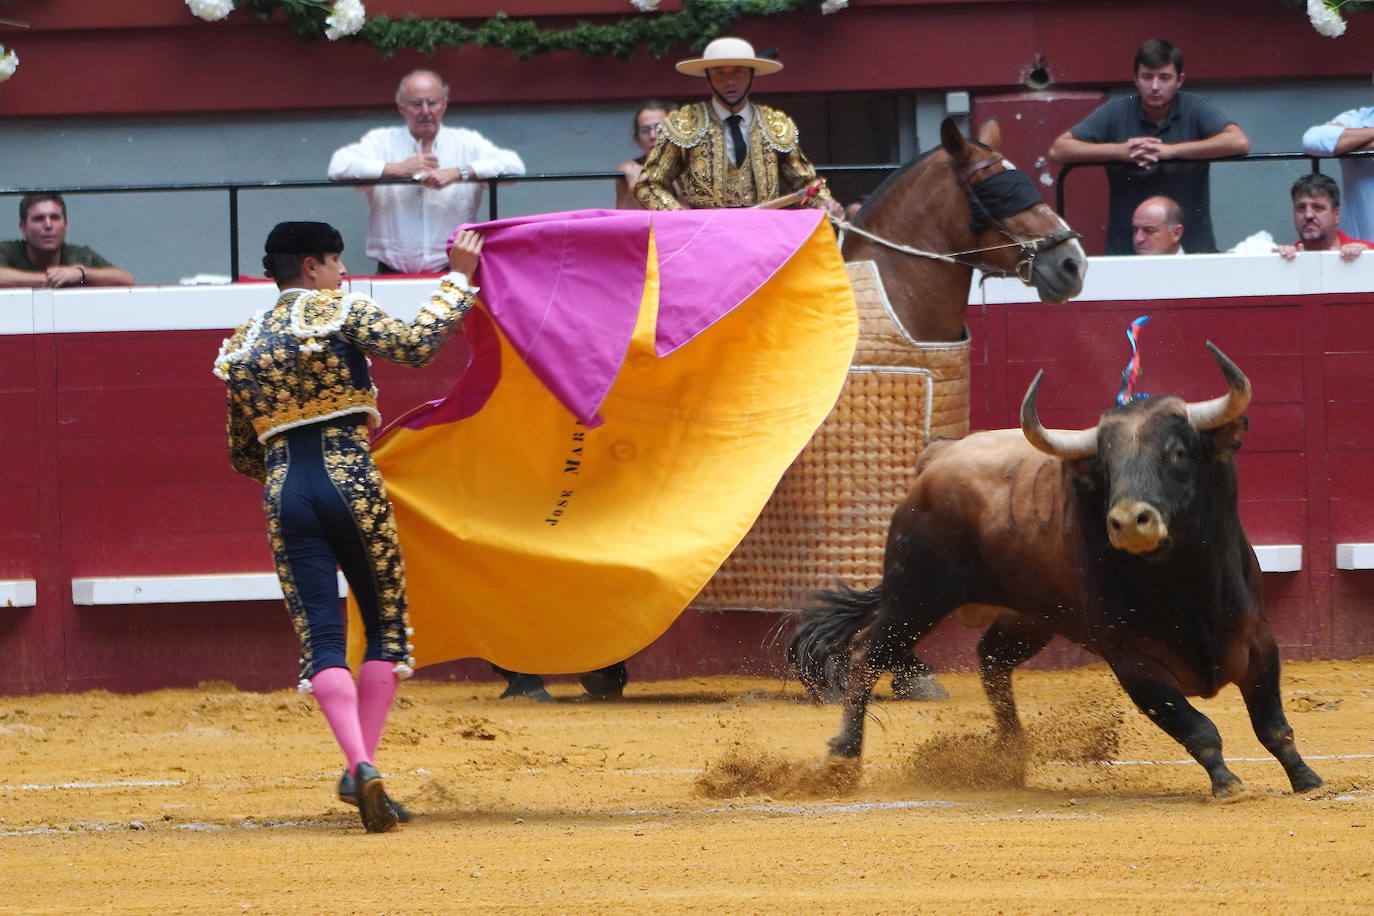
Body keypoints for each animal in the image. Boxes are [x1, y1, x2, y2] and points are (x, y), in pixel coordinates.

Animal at [791, 343, 1324, 796]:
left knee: (990, 659)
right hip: (916, 597)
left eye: (1176, 453)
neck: (1186, 587)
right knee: (867, 657)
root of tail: (935, 459)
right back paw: (843, 758)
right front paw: (1227, 782)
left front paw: (1307, 779)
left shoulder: (1259, 641)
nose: (1128, 520)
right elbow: (1198, 727)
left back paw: (1010, 754)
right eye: (1105, 466)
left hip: (1027, 616)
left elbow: (1274, 725)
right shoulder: (1135, 664)